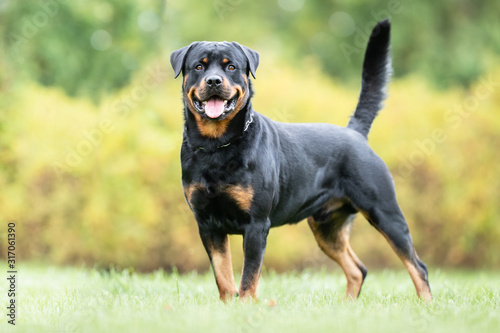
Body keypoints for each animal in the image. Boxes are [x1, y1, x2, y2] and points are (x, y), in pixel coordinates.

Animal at [171, 20, 430, 300]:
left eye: (231, 67)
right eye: (199, 66)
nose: (214, 81)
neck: (216, 146)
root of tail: (355, 133)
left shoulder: (256, 225)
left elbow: (249, 277)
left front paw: (246, 305)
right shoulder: (208, 224)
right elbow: (223, 276)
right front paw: (228, 305)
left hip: (384, 212)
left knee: (418, 266)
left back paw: (426, 304)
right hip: (326, 227)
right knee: (358, 269)